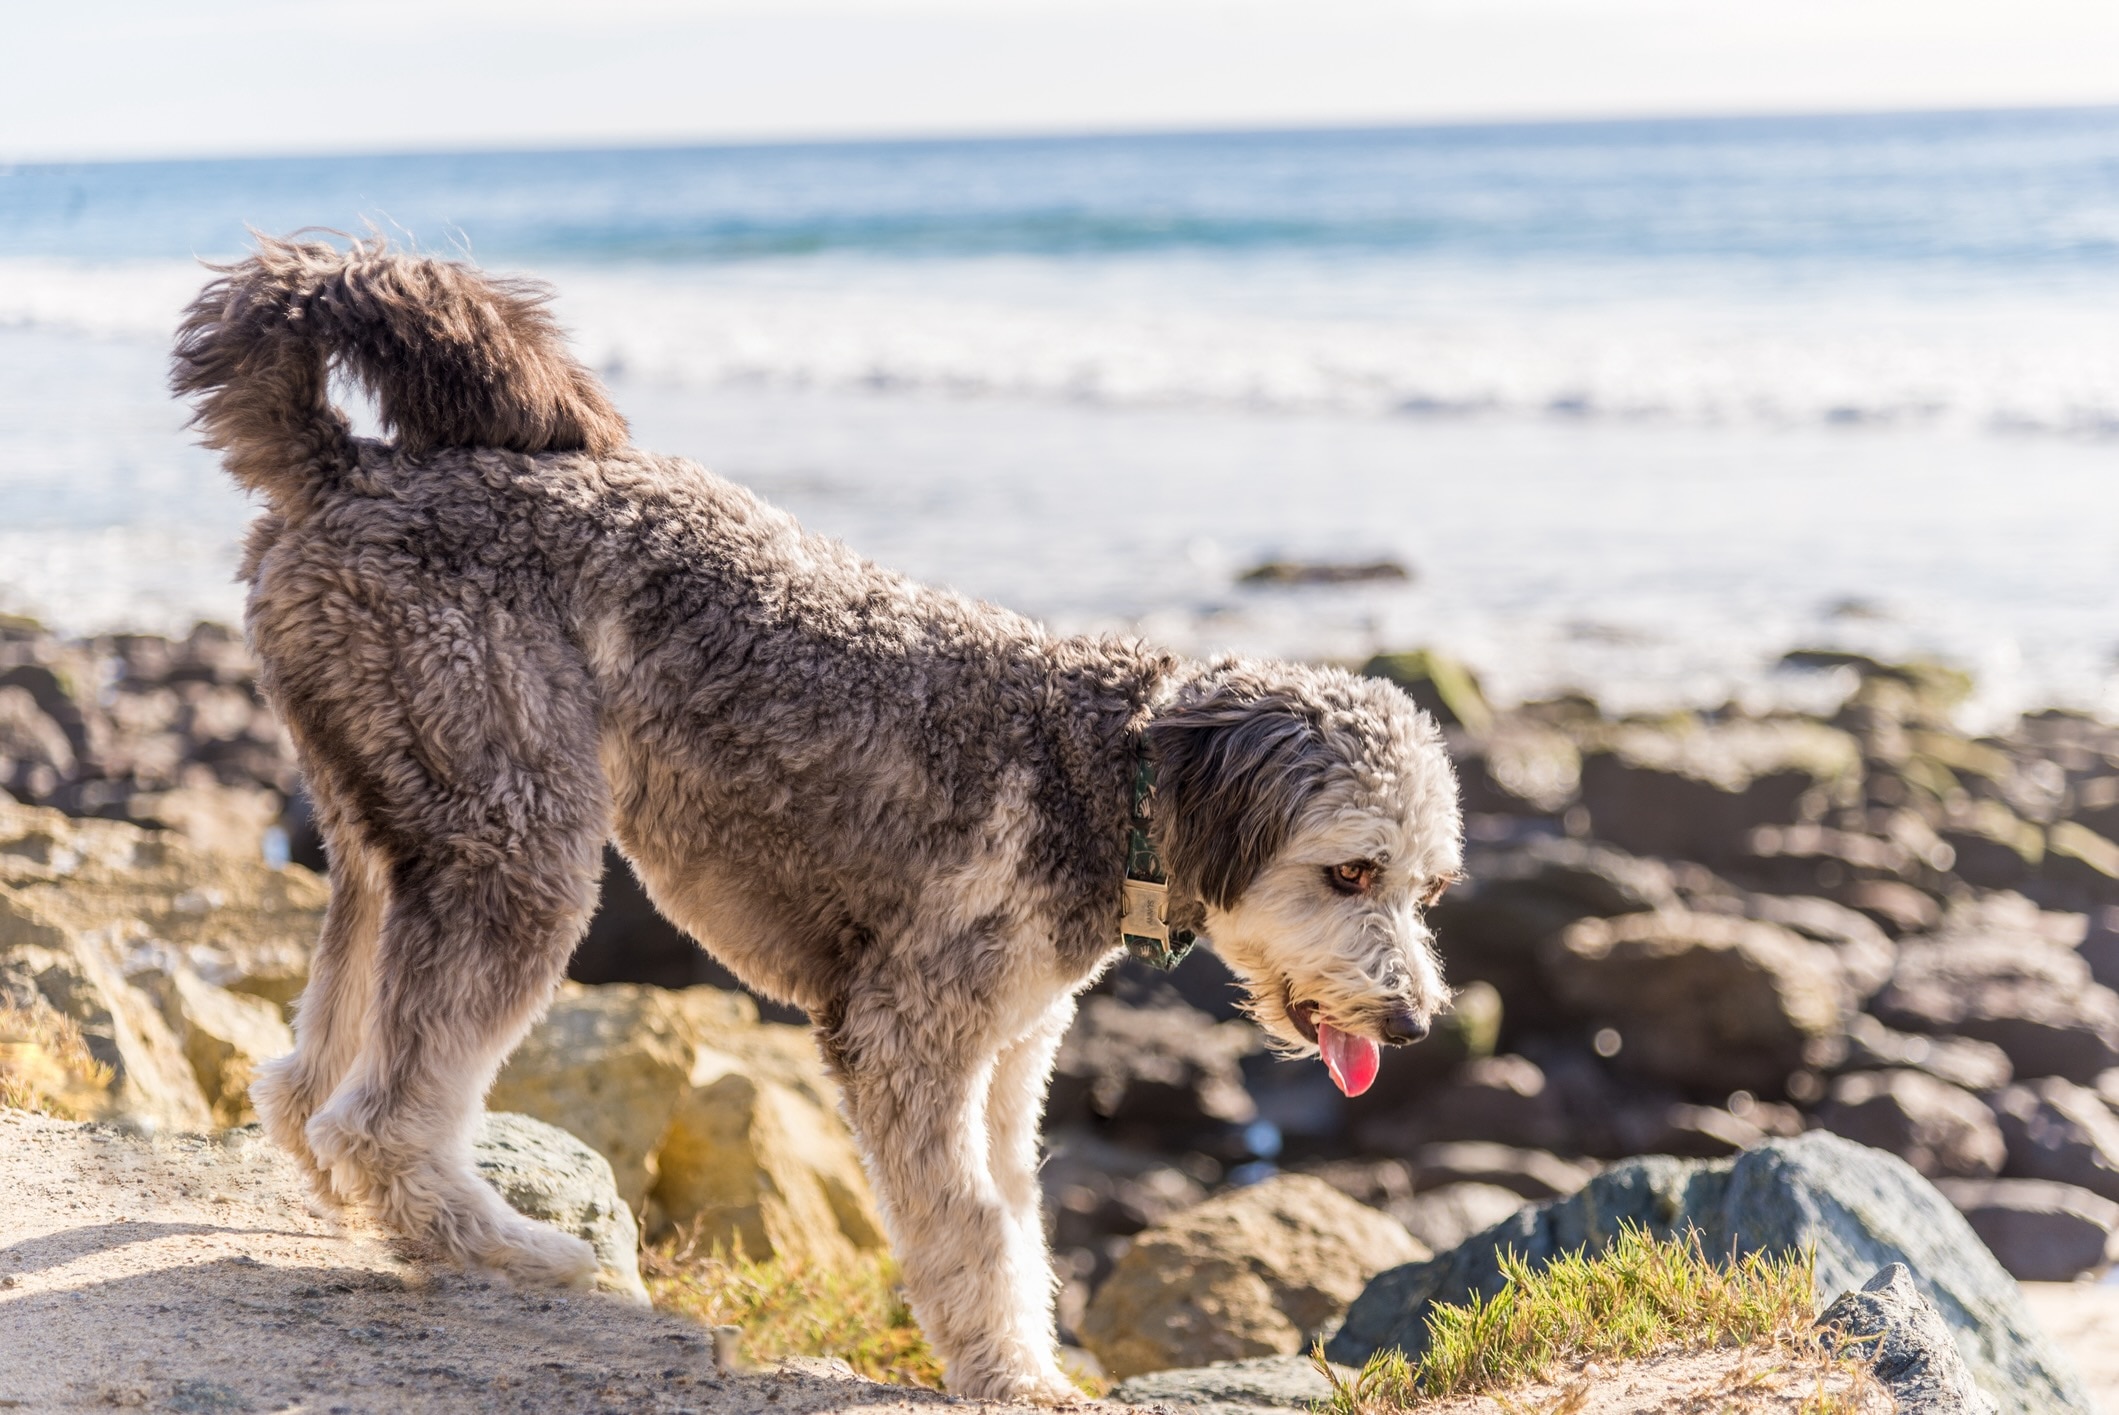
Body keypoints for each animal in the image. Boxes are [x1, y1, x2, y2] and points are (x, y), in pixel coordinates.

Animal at [173, 237, 1466, 1398]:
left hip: (391, 826)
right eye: (1351, 872)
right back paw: (502, 1245)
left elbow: (1019, 1220)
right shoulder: (909, 1032)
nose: (1409, 1023)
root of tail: (349, 467)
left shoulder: (1009, 1055)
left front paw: (1026, 1355)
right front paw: (1011, 1376)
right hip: (516, 845)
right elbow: (972, 1228)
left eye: (1431, 889)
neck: (1107, 777)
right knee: (382, 1116)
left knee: (305, 1078)